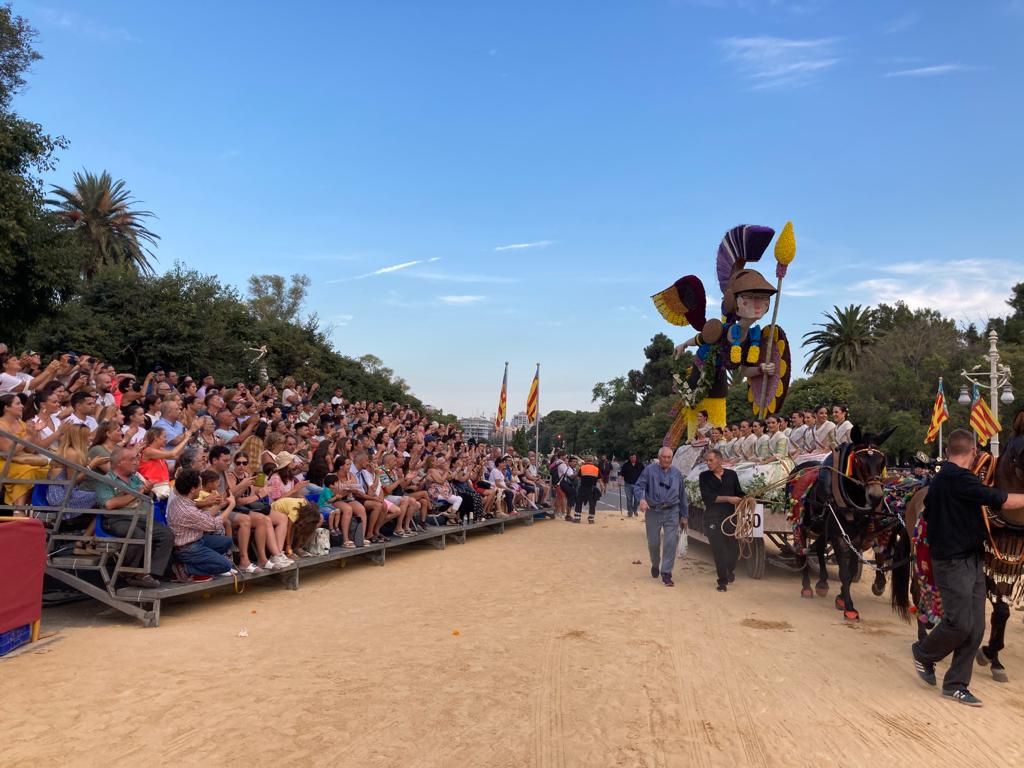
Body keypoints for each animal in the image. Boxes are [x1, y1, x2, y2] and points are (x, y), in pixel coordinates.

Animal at [790, 428, 913, 626]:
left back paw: (822, 583)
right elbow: (844, 572)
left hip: (822, 529)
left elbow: (852, 568)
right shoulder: (839, 535)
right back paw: (807, 585)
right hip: (801, 524)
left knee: (818, 549)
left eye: (882, 461)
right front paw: (849, 608)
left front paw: (841, 598)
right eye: (858, 461)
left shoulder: (858, 537)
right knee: (802, 550)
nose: (876, 496)